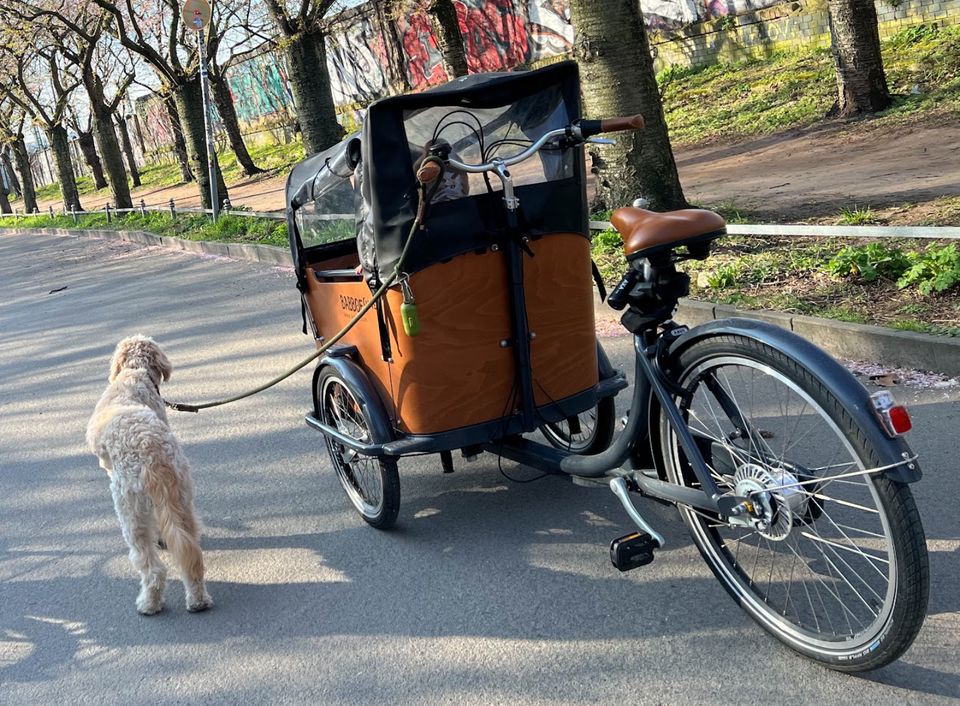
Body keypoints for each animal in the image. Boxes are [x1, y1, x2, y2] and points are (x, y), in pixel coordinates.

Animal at [86, 332, 212, 612]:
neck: (134, 374)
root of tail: (153, 458)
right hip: (182, 496)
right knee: (190, 552)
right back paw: (198, 599)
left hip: (131, 511)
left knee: (151, 566)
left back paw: (149, 603)